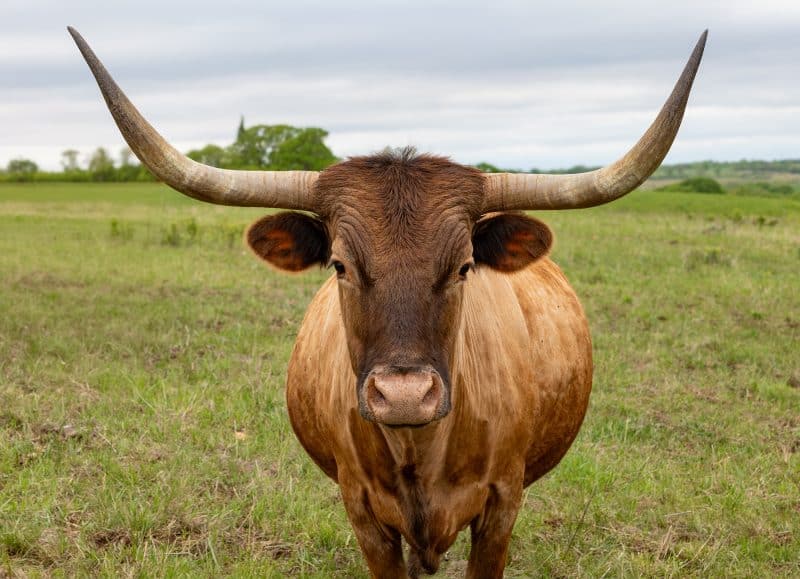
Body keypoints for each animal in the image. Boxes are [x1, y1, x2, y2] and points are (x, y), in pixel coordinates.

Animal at [69, 27, 706, 578]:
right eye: (340, 265)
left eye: (464, 266)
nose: (403, 395)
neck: (417, 448)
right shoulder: (364, 515)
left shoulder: (502, 506)